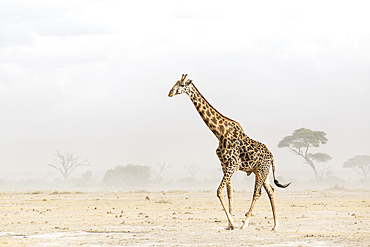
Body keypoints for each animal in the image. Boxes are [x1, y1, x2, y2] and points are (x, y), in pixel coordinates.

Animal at [168, 74, 292, 231]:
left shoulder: (232, 165)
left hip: (261, 171)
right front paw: (229, 224)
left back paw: (245, 224)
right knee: (271, 191)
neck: (220, 133)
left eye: (182, 85)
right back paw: (275, 225)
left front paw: (232, 223)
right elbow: (229, 193)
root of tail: (272, 156)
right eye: (176, 83)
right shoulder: (224, 165)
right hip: (262, 172)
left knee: (257, 193)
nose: (170, 92)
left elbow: (219, 191)